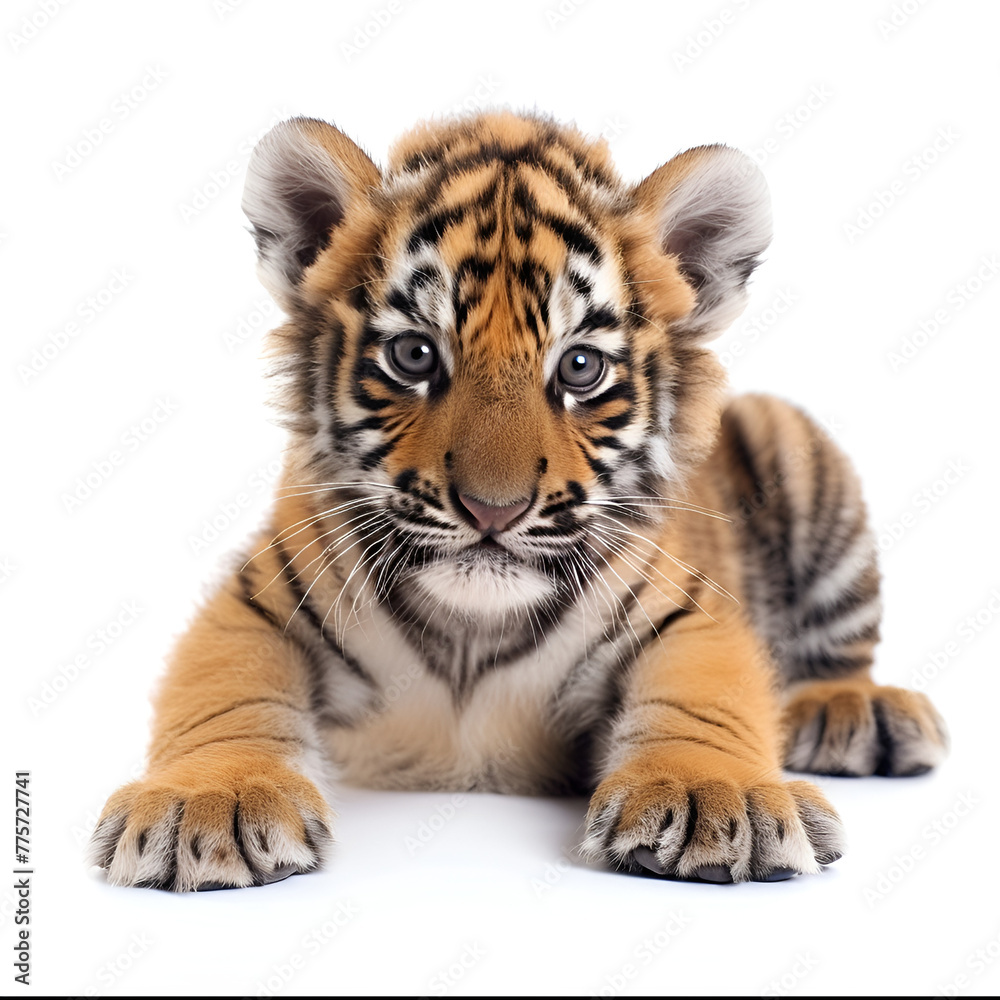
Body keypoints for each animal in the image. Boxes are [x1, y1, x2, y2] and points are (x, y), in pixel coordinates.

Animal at [89, 111, 948, 891]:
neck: (471, 632)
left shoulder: (685, 613)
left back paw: (849, 710)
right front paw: (209, 802)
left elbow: (707, 695)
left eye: (579, 369)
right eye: (414, 355)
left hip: (793, 441)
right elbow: (221, 691)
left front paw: (714, 796)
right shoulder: (258, 601)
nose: (492, 510)